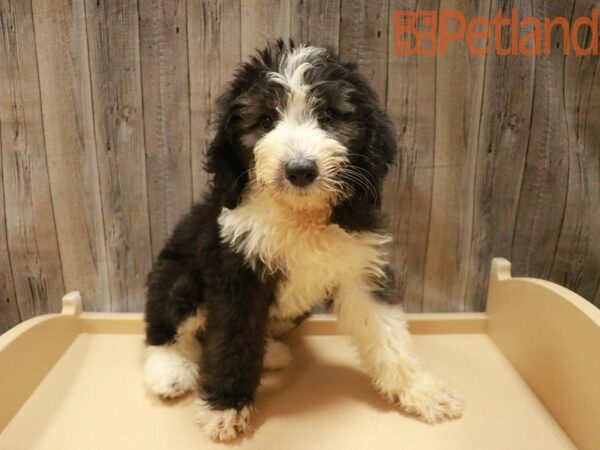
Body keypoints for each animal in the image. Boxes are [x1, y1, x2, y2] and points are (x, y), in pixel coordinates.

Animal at [142, 40, 464, 442]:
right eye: (265, 120)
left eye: (328, 115)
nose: (299, 170)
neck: (300, 215)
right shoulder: (236, 273)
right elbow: (231, 340)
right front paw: (226, 408)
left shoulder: (360, 265)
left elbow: (387, 333)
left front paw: (422, 391)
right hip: (179, 279)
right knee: (167, 330)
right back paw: (168, 372)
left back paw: (272, 354)